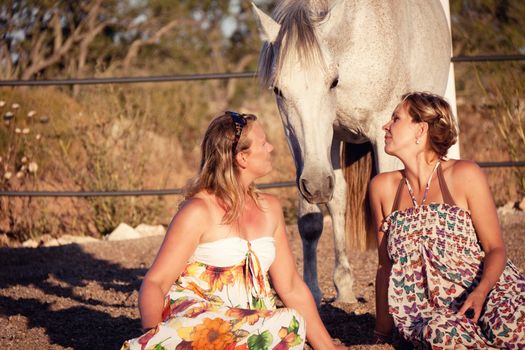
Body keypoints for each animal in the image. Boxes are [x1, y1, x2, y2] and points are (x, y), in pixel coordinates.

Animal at [253, 0, 450, 304]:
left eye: (333, 81)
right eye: (278, 89)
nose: (317, 185)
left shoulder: (385, 136)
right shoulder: (312, 146)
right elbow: (313, 219)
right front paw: (317, 290)